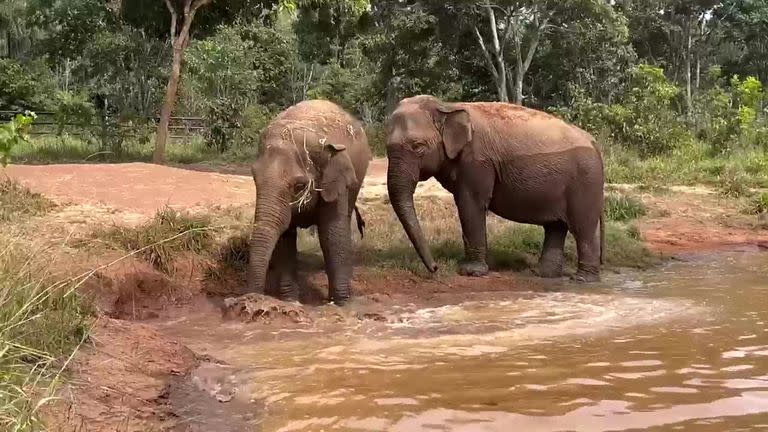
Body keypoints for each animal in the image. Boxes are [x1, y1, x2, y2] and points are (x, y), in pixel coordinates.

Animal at [243, 99, 368, 306]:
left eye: (299, 186)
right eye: (254, 178)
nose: (252, 298)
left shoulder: (336, 183)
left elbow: (332, 233)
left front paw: (342, 304)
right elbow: (285, 235)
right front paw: (291, 302)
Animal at [384, 95, 608, 282]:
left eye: (418, 147)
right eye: (386, 147)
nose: (436, 268)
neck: (447, 106)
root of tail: (594, 142)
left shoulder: (477, 161)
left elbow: (470, 204)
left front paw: (470, 272)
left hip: (586, 180)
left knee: (582, 227)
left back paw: (582, 279)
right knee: (556, 226)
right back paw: (543, 274)